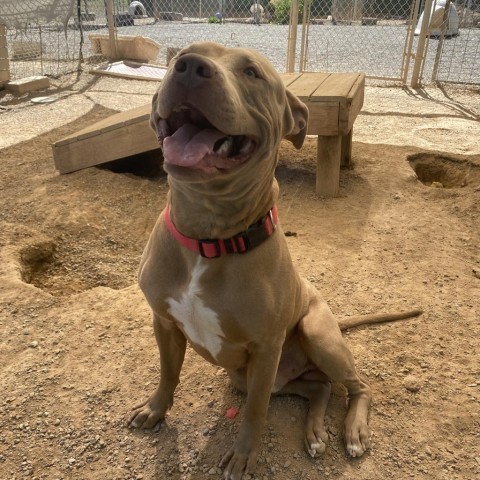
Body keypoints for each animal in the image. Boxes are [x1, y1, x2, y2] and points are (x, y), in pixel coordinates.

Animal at [129, 42, 422, 480]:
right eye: (180, 56)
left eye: (251, 72)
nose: (191, 67)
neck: (207, 237)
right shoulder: (163, 322)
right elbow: (168, 373)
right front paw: (155, 409)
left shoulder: (266, 348)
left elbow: (255, 411)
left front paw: (244, 456)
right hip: (248, 375)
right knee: (318, 386)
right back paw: (315, 433)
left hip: (315, 334)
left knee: (357, 386)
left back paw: (353, 432)